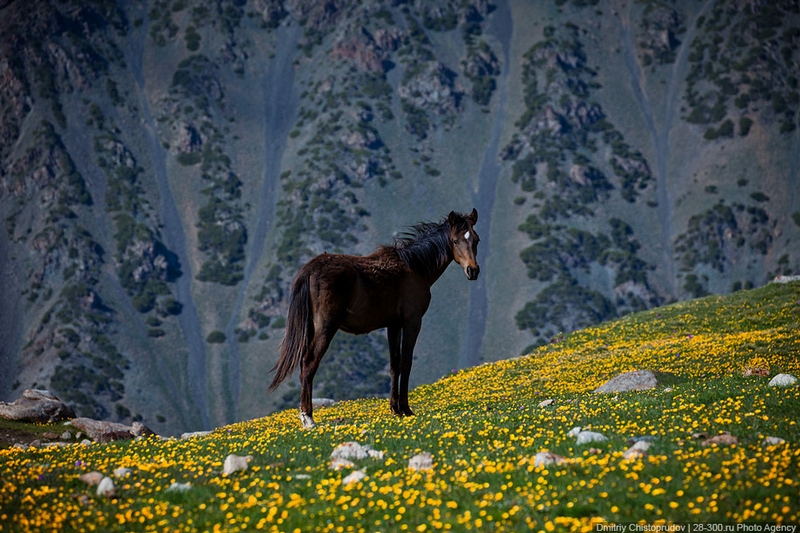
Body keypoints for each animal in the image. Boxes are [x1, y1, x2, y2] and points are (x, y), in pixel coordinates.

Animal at [268, 206, 482, 426]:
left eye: (476, 239)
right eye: (455, 240)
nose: (473, 270)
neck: (414, 268)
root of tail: (310, 270)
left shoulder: (393, 325)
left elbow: (394, 364)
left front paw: (396, 408)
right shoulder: (412, 322)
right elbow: (406, 363)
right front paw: (406, 409)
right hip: (326, 328)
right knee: (309, 363)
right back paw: (308, 417)